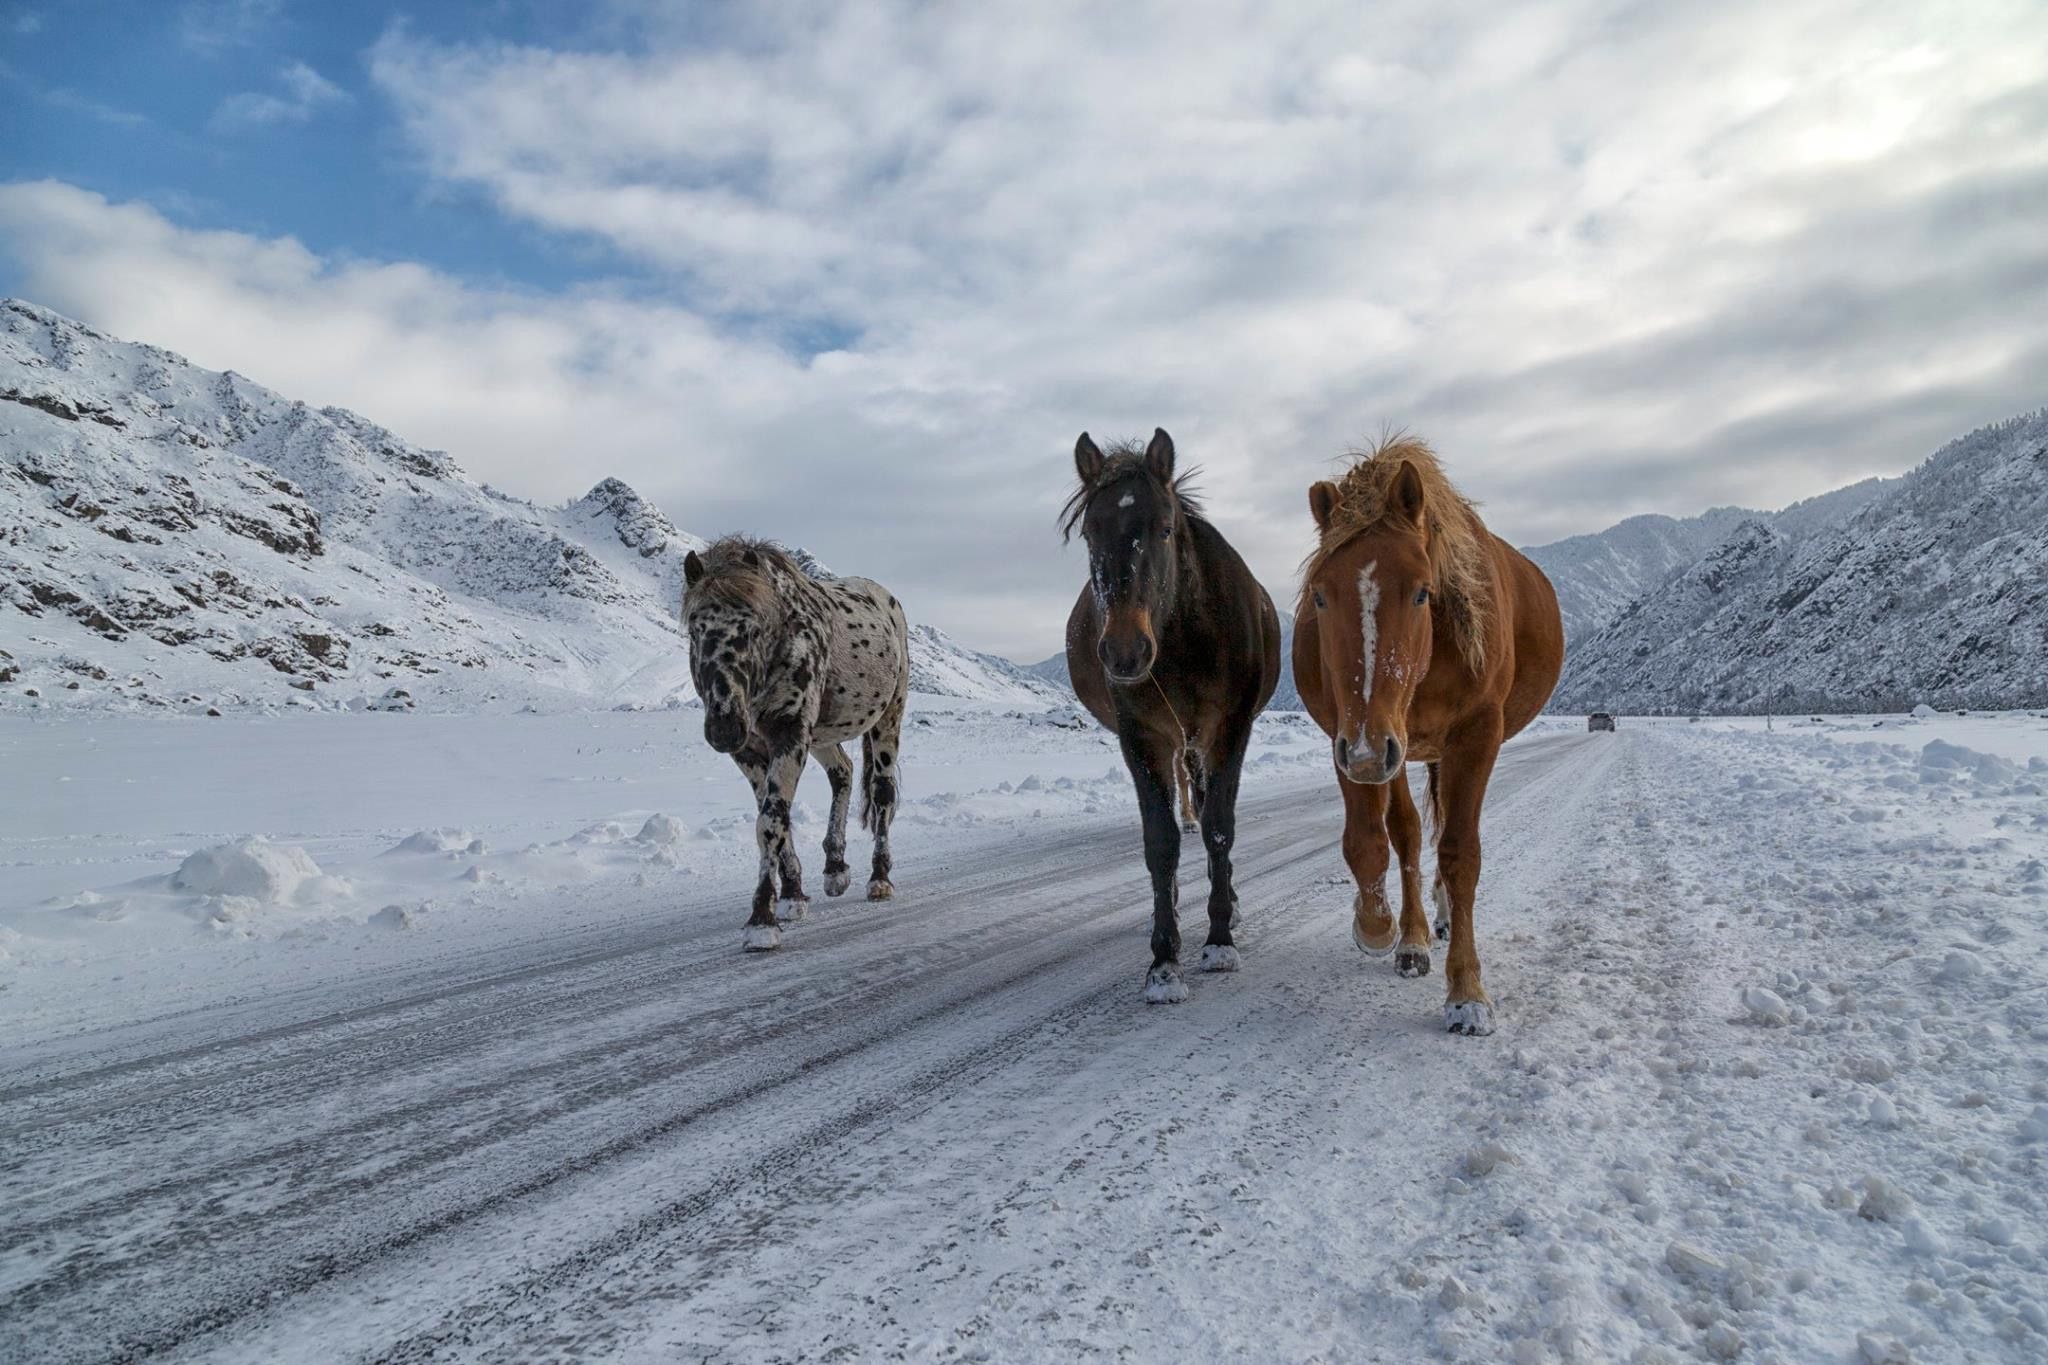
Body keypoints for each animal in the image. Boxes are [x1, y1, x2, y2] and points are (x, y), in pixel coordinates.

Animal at [684, 532, 909, 949]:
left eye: (753, 628)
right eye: (695, 629)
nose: (724, 726)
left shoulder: (789, 734)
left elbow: (770, 823)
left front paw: (761, 920)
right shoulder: (752, 752)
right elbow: (776, 819)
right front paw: (791, 895)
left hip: (888, 718)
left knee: (882, 792)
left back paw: (880, 879)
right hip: (821, 735)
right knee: (843, 772)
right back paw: (835, 869)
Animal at [1056, 427, 1277, 1002]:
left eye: (1165, 527)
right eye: (1089, 533)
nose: (1124, 651)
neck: (1181, 642)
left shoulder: (1229, 730)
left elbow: (1219, 827)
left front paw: (1219, 941)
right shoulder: (1142, 739)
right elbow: (1161, 842)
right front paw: (1163, 960)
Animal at [1294, 437, 1564, 1035]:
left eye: (1422, 593)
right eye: (1320, 596)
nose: (1367, 751)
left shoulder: (1472, 736)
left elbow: (1461, 853)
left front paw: (1467, 994)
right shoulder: (1356, 739)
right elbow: (1376, 840)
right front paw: (1378, 926)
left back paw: (1439, 921)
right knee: (1412, 834)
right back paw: (1416, 936)